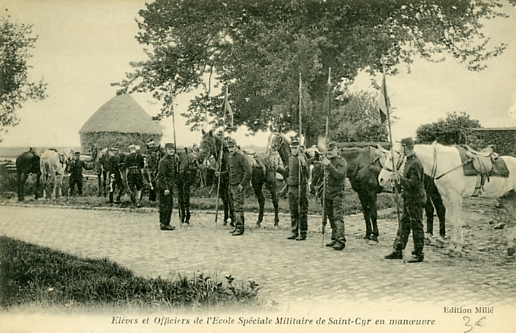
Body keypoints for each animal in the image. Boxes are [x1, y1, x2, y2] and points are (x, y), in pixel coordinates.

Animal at [376, 142, 516, 254]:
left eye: (391, 158)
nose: (380, 179)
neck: (445, 163)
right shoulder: (446, 198)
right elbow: (451, 220)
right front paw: (452, 246)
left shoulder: (456, 198)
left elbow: (457, 221)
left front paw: (458, 247)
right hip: (507, 199)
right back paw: (510, 246)